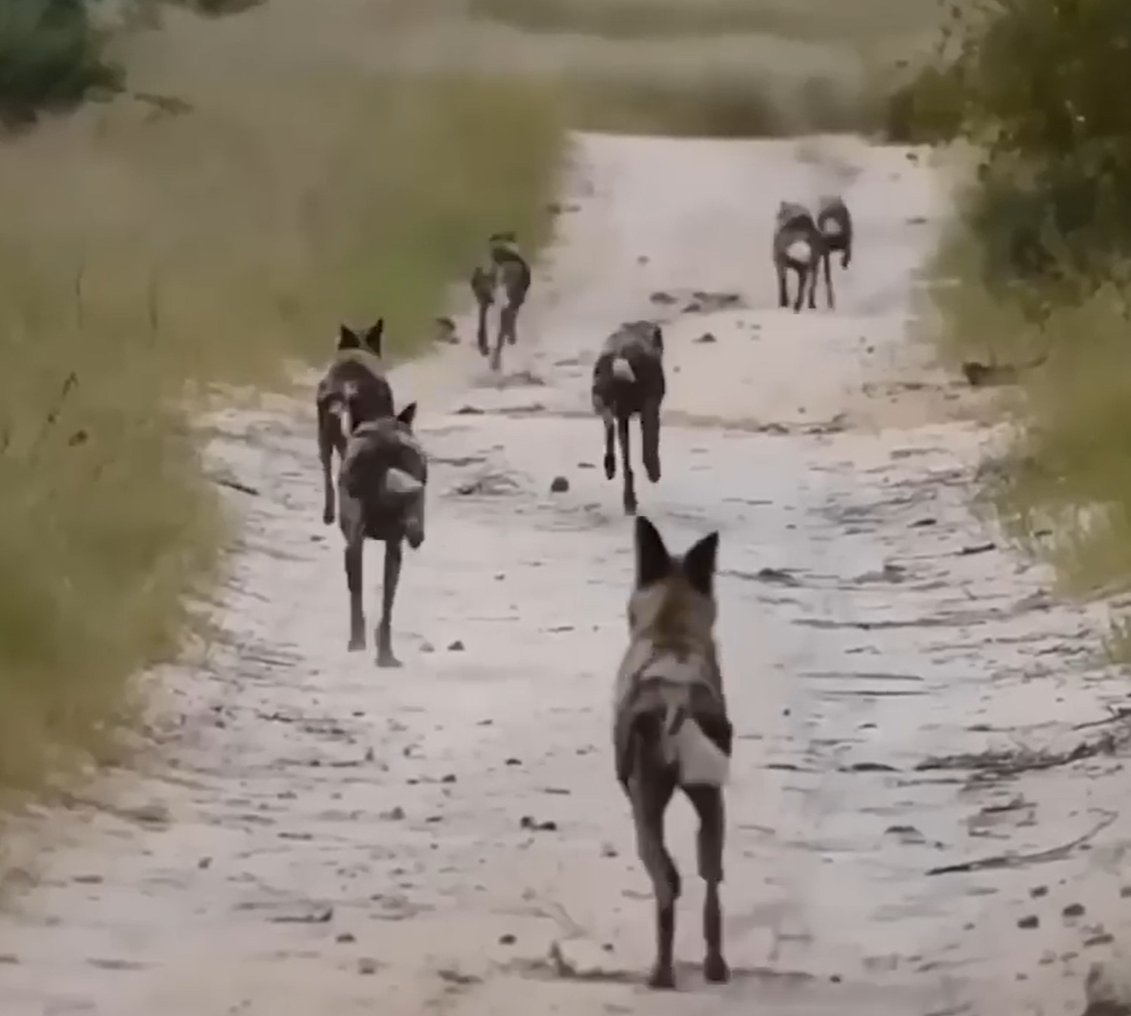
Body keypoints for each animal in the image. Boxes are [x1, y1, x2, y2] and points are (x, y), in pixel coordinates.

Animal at [334, 400, 427, 669]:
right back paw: (385, 653)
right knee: (386, 608)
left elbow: (356, 598)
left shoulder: (353, 542)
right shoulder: (393, 545)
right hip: (395, 547)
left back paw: (360, 644)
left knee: (359, 596)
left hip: (355, 542)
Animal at [465, 230, 531, 371]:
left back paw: (484, 348)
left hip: (483, 297)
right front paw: (512, 339)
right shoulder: (516, 302)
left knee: (482, 321)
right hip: (507, 301)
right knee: (501, 331)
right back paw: (496, 361)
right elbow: (511, 323)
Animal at [592, 321, 660, 515]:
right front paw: (654, 471)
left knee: (611, 432)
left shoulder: (623, 417)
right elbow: (650, 444)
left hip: (602, 404)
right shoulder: (651, 407)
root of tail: (620, 354)